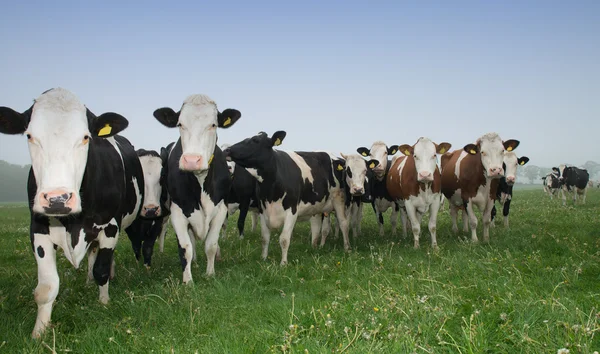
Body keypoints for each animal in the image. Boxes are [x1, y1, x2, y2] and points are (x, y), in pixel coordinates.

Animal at [0, 88, 144, 338]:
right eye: (29, 136)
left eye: (86, 137)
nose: (57, 199)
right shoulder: (38, 229)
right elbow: (46, 287)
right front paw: (39, 333)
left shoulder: (111, 226)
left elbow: (102, 269)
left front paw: (104, 302)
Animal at [152, 92, 241, 284]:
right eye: (180, 124)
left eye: (213, 124)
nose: (192, 160)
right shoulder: (178, 212)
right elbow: (185, 247)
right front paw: (188, 281)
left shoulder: (221, 209)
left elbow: (211, 245)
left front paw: (210, 273)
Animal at [224, 130, 352, 262]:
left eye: (255, 140)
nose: (227, 150)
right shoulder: (263, 210)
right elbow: (264, 238)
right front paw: (264, 258)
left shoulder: (291, 210)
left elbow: (284, 239)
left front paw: (283, 262)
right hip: (317, 205)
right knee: (317, 226)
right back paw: (315, 247)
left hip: (339, 200)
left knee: (343, 223)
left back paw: (347, 247)